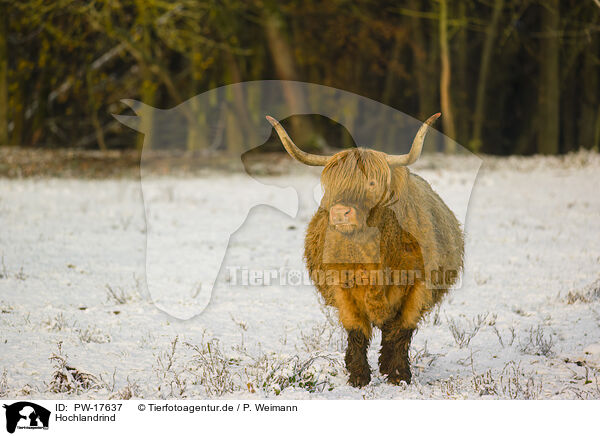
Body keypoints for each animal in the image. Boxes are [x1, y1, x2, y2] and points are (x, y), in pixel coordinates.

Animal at [266, 114, 464, 386]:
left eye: (371, 183)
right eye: (332, 184)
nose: (340, 212)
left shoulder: (419, 287)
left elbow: (402, 330)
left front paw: (398, 375)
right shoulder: (341, 287)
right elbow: (356, 330)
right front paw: (358, 376)